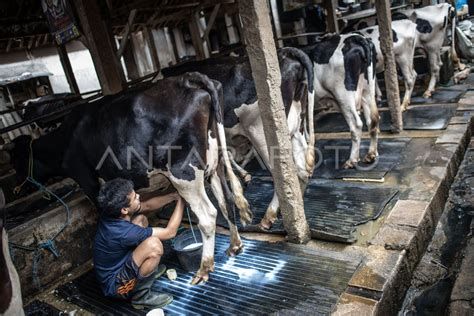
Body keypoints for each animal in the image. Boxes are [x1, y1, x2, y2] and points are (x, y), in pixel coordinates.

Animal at [5, 73, 250, 284]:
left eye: (17, 161)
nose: (16, 189)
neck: (65, 138)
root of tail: (188, 79)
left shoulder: (85, 176)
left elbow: (100, 210)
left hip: (184, 172)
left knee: (208, 216)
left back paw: (204, 269)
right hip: (214, 162)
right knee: (226, 201)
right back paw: (235, 245)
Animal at [162, 47, 314, 230]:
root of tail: (285, 53)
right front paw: (243, 174)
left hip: (261, 132)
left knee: (282, 173)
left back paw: (269, 217)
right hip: (296, 125)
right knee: (302, 169)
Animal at [302, 33, 380, 168]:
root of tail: (355, 37)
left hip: (343, 95)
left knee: (356, 124)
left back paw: (352, 160)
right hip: (366, 90)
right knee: (372, 120)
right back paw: (371, 154)